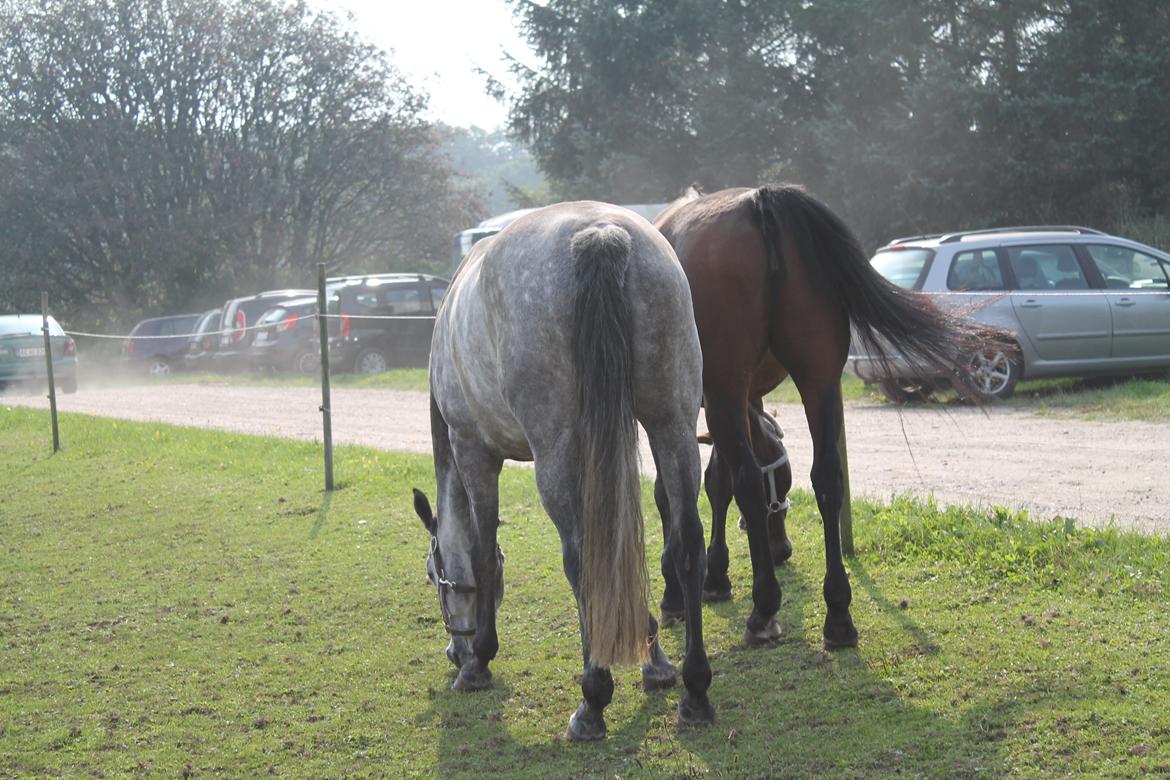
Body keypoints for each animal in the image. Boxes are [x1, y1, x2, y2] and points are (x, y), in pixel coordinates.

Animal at [416, 199, 716, 739]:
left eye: (435, 576)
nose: (455, 649)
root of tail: (599, 233)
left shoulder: (473, 451)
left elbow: (483, 550)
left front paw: (480, 662)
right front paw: (655, 662)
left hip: (556, 454)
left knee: (581, 559)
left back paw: (592, 700)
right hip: (673, 426)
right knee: (685, 546)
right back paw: (695, 690)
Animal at [655, 183, 1001, 645]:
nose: (781, 547)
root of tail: (760, 201)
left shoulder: (701, 404)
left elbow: (683, 490)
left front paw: (682, 589)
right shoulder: (734, 403)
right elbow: (717, 482)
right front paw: (715, 574)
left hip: (731, 386)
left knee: (748, 480)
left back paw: (764, 607)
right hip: (819, 382)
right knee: (828, 480)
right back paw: (838, 612)